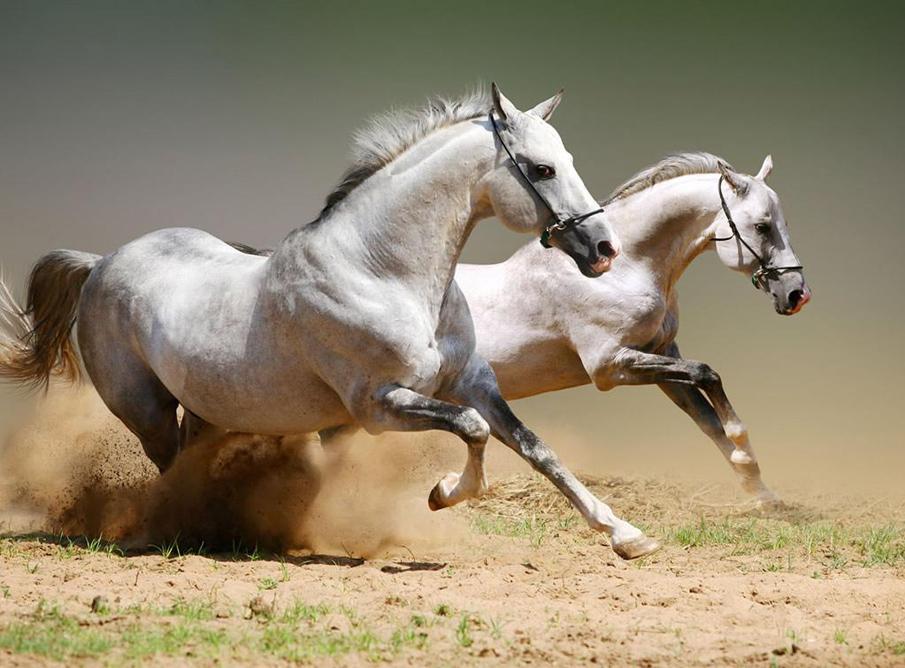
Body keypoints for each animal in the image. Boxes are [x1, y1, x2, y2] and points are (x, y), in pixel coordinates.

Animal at [1, 86, 664, 560]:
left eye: (567, 160)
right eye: (542, 169)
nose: (604, 249)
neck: (381, 272)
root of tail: (101, 262)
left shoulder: (473, 383)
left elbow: (536, 449)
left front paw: (627, 536)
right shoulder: (377, 406)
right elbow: (473, 433)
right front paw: (442, 494)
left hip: (209, 410)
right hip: (146, 411)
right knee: (169, 471)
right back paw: (193, 531)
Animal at [456, 154, 808, 504]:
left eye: (785, 224)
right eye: (762, 226)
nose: (797, 294)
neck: (622, 271)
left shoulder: (660, 354)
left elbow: (707, 419)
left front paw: (762, 493)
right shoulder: (609, 366)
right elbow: (707, 374)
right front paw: (743, 451)